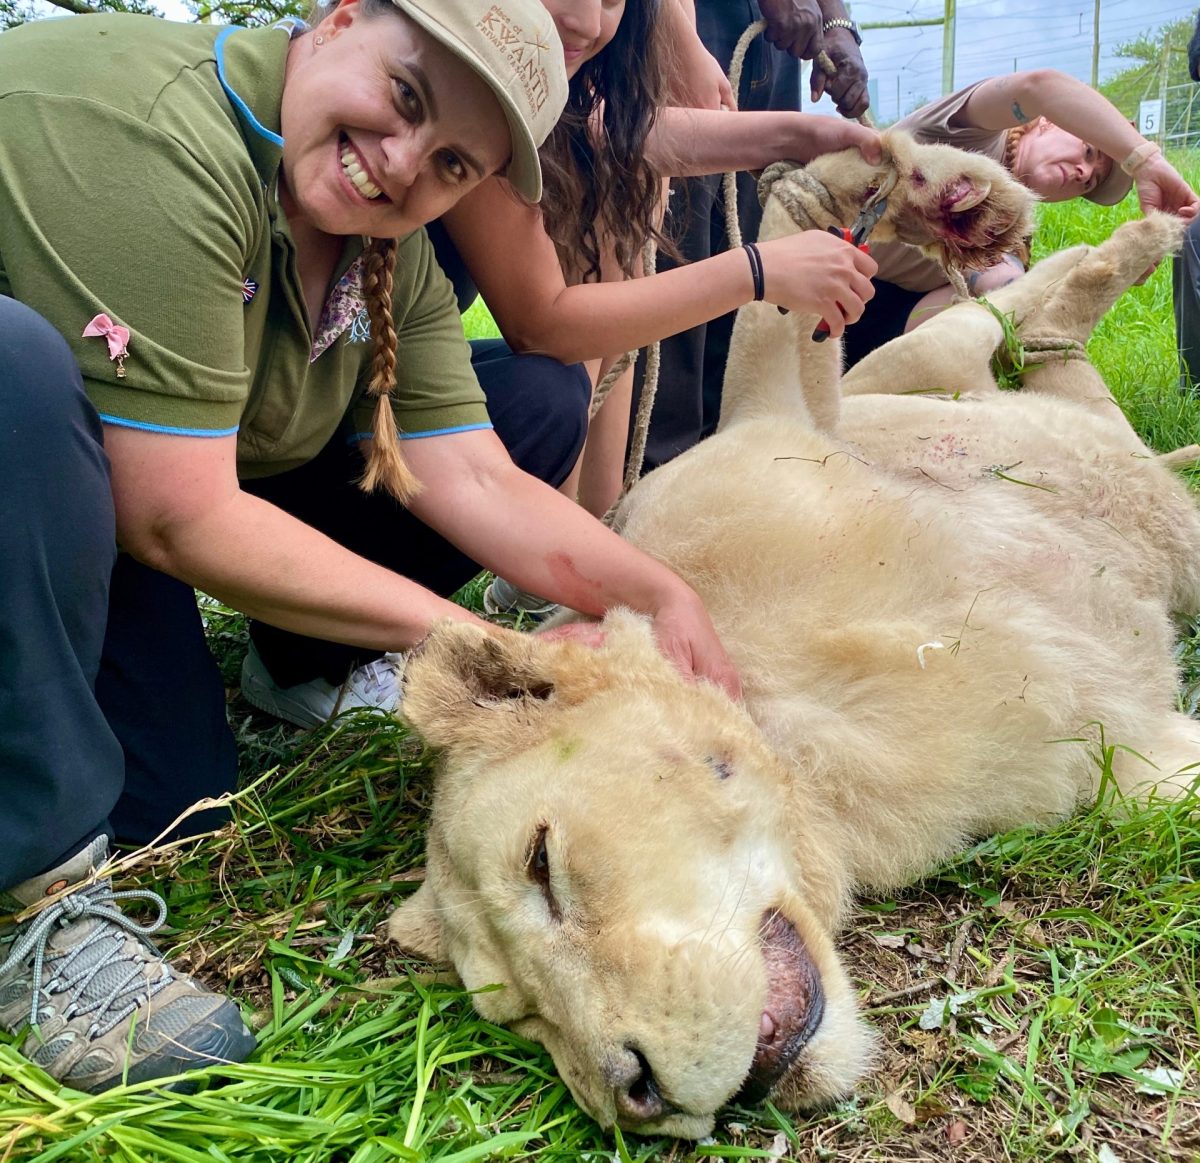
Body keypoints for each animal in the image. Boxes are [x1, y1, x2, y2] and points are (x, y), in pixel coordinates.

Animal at [386, 133, 1200, 1132]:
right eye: (523, 1017)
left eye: (542, 865)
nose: (636, 1094)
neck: (798, 727)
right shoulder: (1118, 769)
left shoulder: (764, 422)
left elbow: (777, 298)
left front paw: (873, 187)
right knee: (1042, 343)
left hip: (920, 377)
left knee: (999, 311)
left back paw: (1023, 213)